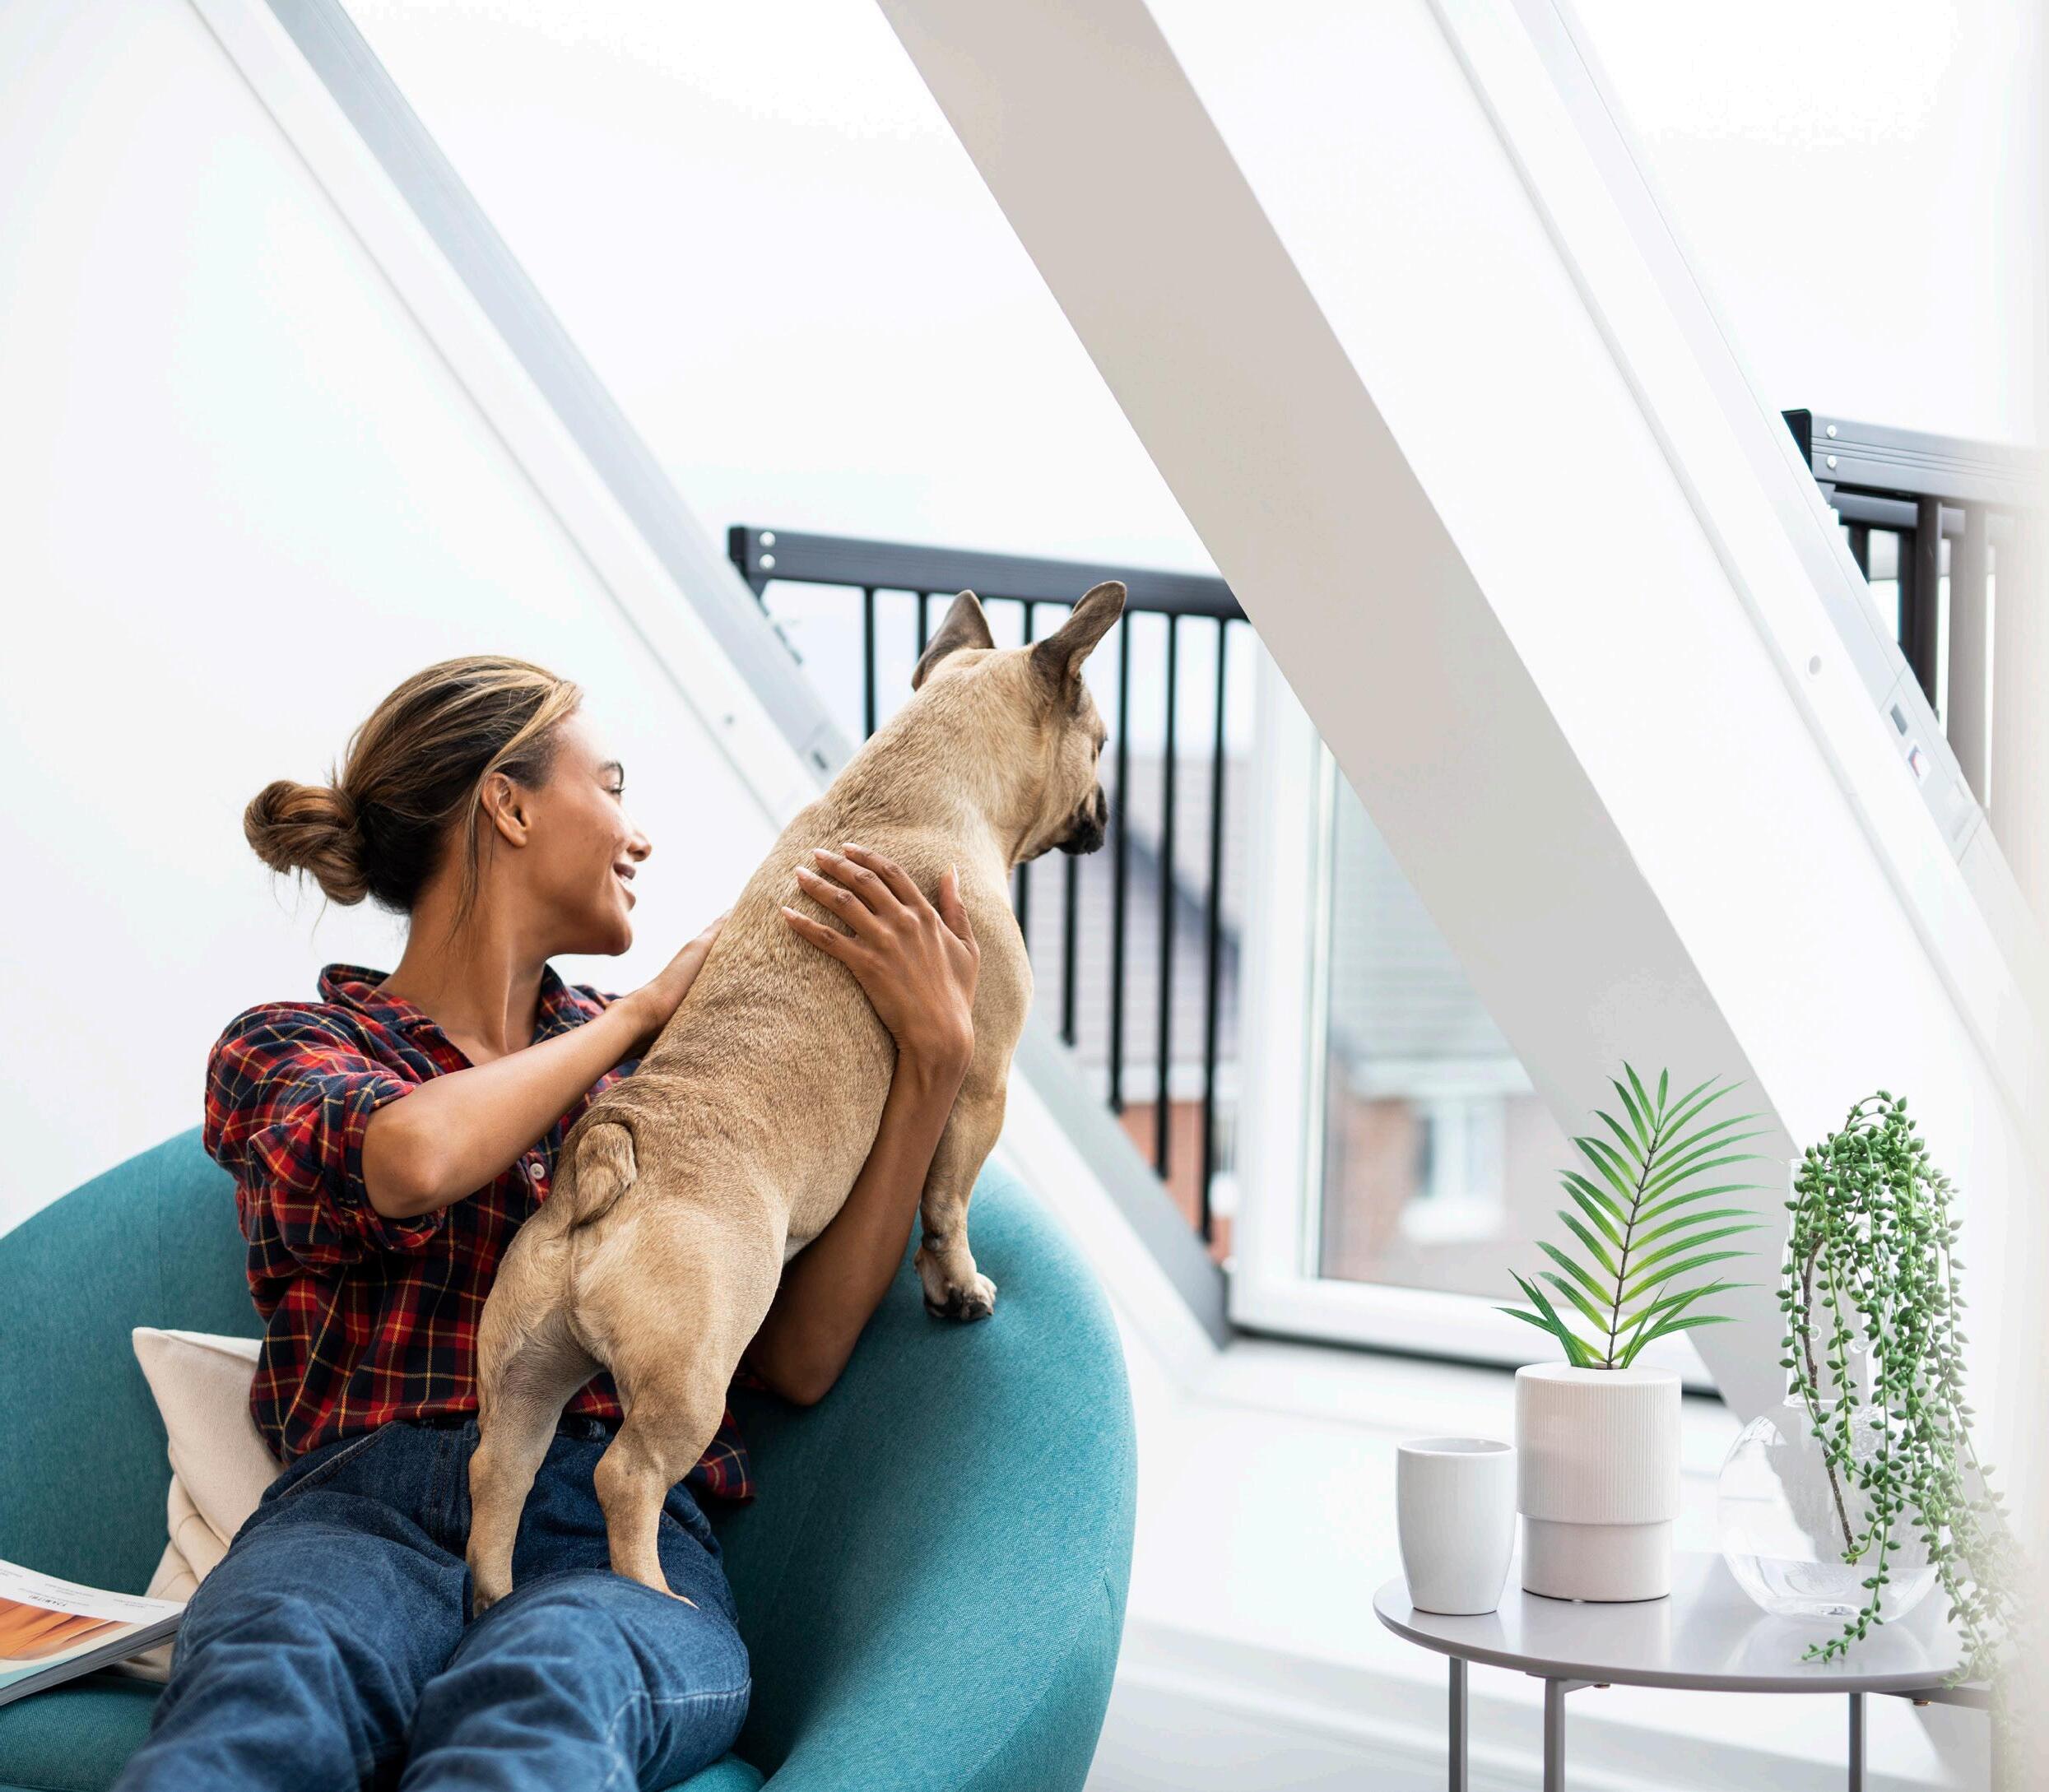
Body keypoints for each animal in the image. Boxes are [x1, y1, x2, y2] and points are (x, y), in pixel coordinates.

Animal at [465, 579, 1125, 1611]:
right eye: (1098, 742)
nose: (1103, 810)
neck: (916, 789)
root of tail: (609, 1161)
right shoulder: (982, 1082)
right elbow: (948, 1200)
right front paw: (958, 1289)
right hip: (695, 1368)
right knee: (628, 1477)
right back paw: (653, 1591)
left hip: (528, 1365)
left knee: (499, 1468)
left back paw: (491, 1596)